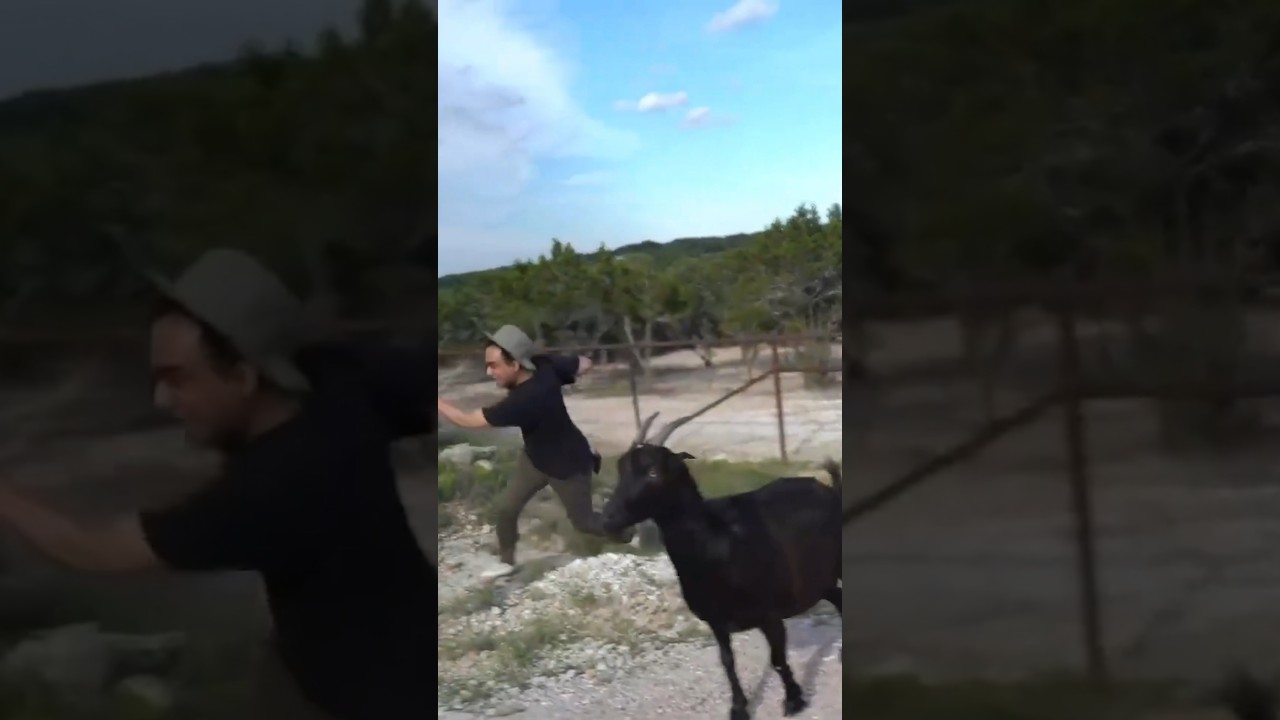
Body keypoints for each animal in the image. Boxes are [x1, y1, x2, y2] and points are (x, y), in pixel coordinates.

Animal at [601, 412, 842, 720]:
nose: (608, 519)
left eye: (653, 472)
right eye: (621, 469)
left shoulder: (770, 614)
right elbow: (727, 662)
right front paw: (738, 708)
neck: (718, 541)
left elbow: (777, 658)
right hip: (817, 578)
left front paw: (793, 700)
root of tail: (829, 488)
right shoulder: (716, 621)